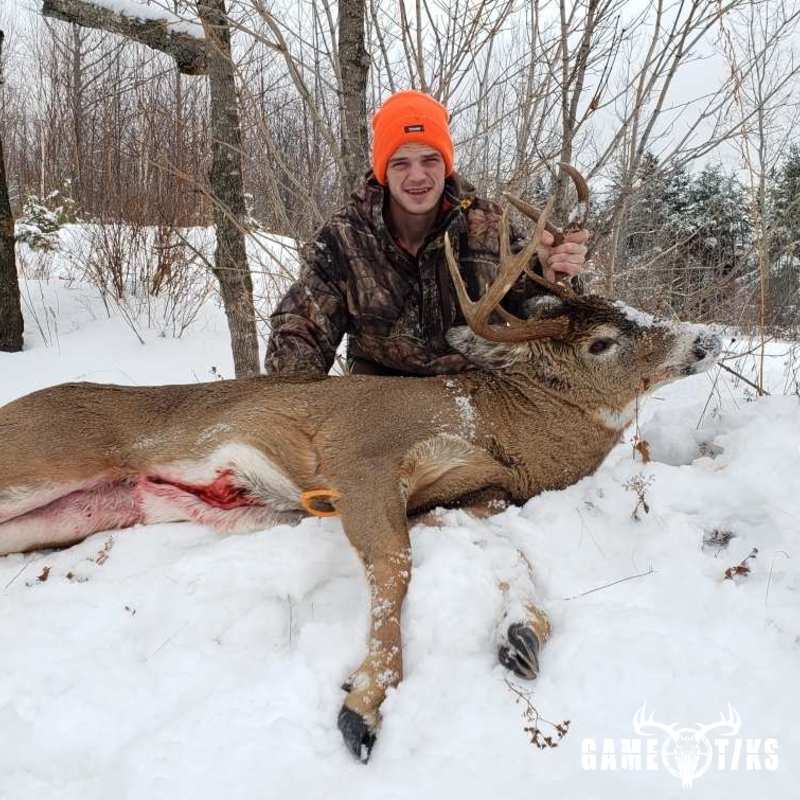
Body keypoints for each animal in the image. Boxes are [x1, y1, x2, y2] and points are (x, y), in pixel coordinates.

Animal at [0, 168, 721, 762]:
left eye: (625, 312)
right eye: (602, 342)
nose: (707, 338)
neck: (487, 424)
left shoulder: (457, 498)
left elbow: (508, 553)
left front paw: (520, 634)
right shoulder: (360, 454)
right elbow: (395, 569)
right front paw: (363, 704)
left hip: (72, 512)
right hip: (38, 458)